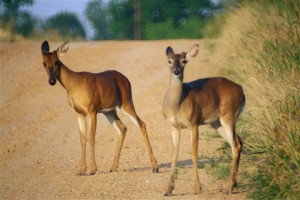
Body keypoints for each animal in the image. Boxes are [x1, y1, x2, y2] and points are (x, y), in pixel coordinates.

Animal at [41, 40, 159, 175]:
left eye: (56, 61)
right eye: (44, 63)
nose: (51, 81)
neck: (73, 85)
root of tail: (126, 79)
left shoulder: (92, 110)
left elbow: (91, 137)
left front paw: (93, 169)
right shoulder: (79, 112)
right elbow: (82, 139)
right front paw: (81, 170)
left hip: (127, 102)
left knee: (141, 124)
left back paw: (155, 167)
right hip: (110, 111)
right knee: (123, 128)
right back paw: (113, 167)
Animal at [163, 43, 245, 195]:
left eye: (184, 61)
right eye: (169, 61)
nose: (176, 71)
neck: (177, 105)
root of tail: (241, 90)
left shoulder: (193, 122)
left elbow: (194, 154)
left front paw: (197, 188)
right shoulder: (173, 126)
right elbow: (174, 155)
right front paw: (168, 190)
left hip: (229, 115)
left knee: (235, 146)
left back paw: (229, 187)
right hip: (217, 123)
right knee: (239, 142)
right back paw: (234, 184)